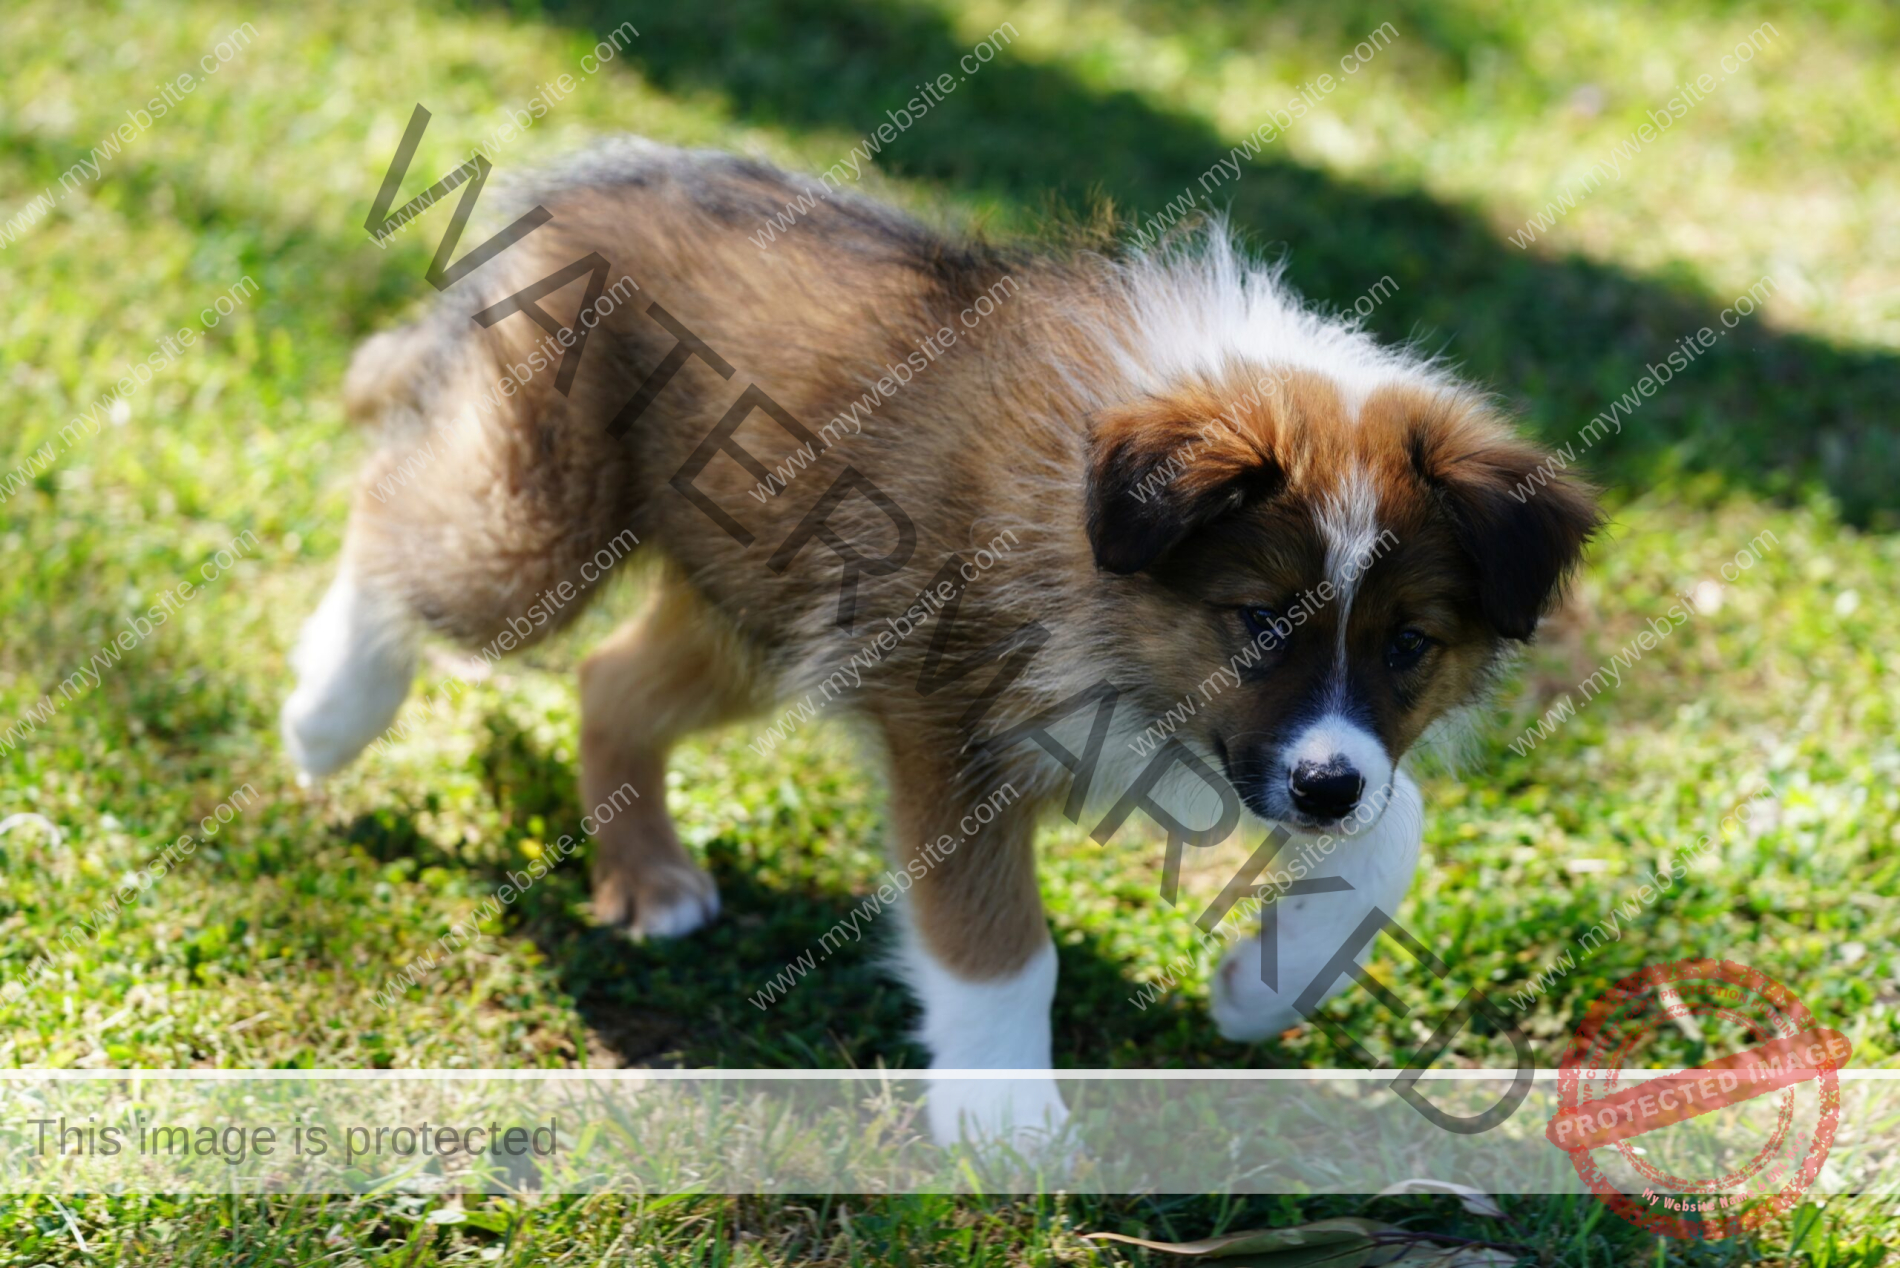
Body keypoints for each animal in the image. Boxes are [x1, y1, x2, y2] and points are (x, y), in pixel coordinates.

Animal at [285, 138, 1603, 1140]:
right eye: (1257, 617)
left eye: (1408, 643)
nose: (1325, 790)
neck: (1098, 558)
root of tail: (587, 181)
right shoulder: (951, 727)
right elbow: (1000, 943)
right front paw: (1007, 1124)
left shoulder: (1225, 745)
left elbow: (1396, 823)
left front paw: (1259, 985)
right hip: (540, 539)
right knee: (394, 510)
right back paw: (327, 713)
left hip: (761, 612)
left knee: (611, 679)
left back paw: (647, 874)